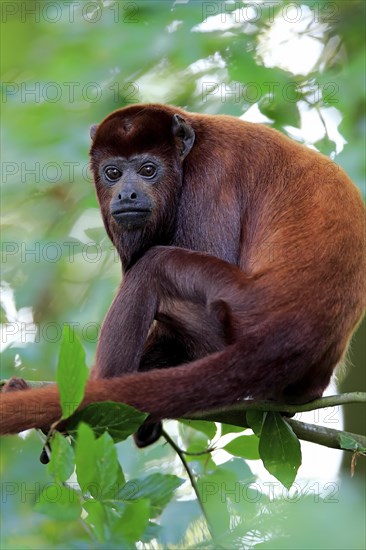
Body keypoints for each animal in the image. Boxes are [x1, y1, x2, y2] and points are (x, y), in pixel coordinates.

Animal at [0, 103, 366, 446]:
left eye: (148, 170)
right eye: (112, 172)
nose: (126, 194)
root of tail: (291, 330)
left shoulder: (212, 174)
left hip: (239, 315)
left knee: (152, 267)